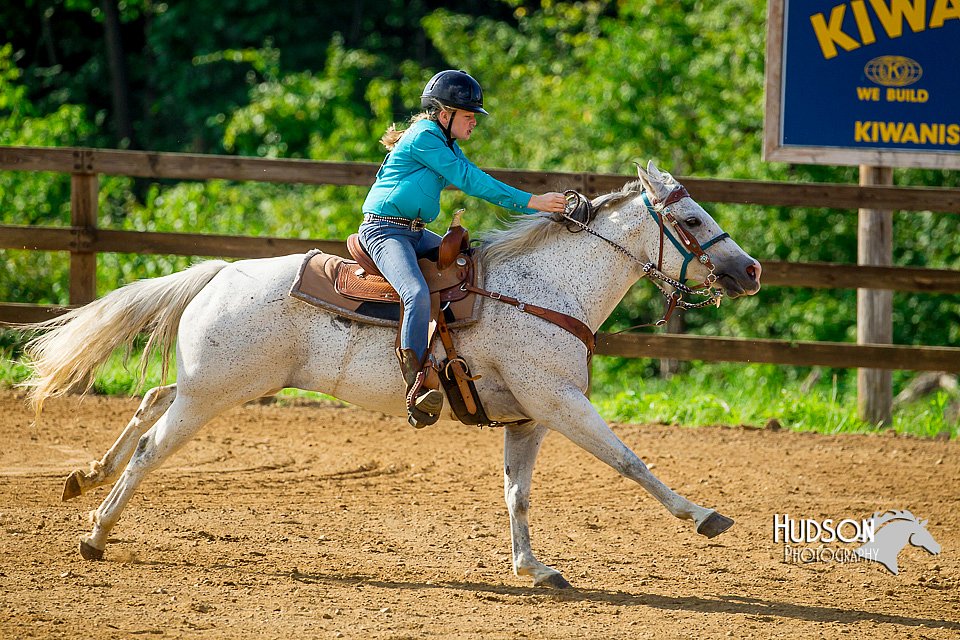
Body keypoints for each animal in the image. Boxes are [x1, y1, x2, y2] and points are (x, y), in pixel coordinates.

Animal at [18, 162, 760, 588]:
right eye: (691, 218)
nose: (750, 270)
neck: (546, 288)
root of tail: (221, 272)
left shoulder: (529, 417)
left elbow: (517, 494)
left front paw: (533, 567)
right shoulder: (561, 402)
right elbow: (631, 461)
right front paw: (703, 516)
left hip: (215, 383)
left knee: (149, 399)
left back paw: (86, 477)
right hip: (213, 393)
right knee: (151, 447)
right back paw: (95, 533)